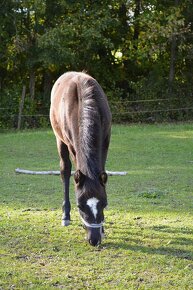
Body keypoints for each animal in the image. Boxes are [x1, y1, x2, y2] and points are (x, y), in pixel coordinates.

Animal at [49, 71, 111, 246]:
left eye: (104, 204)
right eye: (80, 206)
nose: (94, 240)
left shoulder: (105, 143)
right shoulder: (71, 145)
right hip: (60, 140)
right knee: (65, 171)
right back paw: (65, 216)